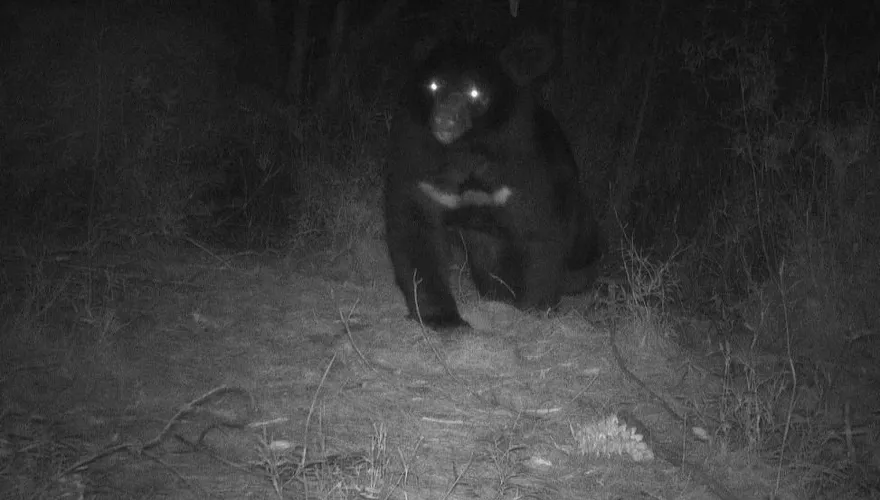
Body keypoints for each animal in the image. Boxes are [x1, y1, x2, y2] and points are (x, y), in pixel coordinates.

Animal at [384, 39, 602, 330]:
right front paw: (442, 318)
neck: (465, 149)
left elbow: (540, 234)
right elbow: (416, 231)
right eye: (433, 85)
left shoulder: (523, 168)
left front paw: (533, 309)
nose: (444, 120)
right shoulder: (420, 167)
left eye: (474, 92)